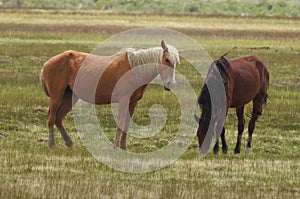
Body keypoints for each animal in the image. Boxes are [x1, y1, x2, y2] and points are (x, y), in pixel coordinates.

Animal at [40, 40, 179, 149]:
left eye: (176, 63)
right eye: (167, 60)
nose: (170, 84)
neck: (135, 69)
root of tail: (47, 62)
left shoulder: (133, 102)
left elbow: (127, 124)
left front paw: (123, 147)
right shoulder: (124, 101)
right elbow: (121, 122)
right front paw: (116, 146)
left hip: (69, 97)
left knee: (58, 119)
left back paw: (69, 143)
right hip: (57, 97)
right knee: (51, 118)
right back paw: (52, 144)